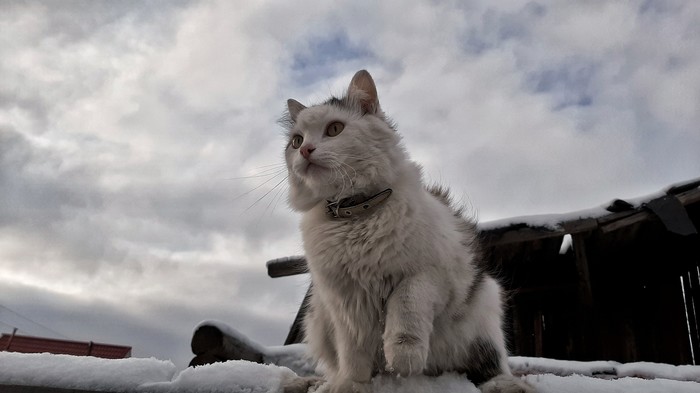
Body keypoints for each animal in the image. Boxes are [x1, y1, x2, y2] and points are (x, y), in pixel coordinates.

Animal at [278, 70, 532, 392]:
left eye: (334, 129)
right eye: (296, 141)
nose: (306, 151)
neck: (356, 215)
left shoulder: (430, 274)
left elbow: (406, 308)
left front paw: (402, 359)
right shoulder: (344, 301)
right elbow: (353, 354)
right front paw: (351, 385)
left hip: (485, 309)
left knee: (487, 367)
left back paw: (505, 384)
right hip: (319, 320)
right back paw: (317, 383)